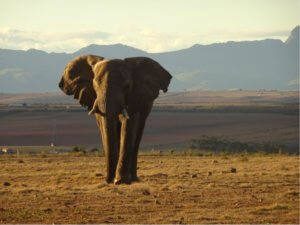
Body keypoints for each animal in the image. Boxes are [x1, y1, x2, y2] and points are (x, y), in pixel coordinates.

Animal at [58, 55, 172, 185]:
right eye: (95, 85)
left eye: (127, 86)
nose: (109, 180)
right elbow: (104, 125)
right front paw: (114, 180)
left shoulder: (134, 97)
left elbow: (128, 125)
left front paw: (121, 181)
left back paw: (133, 179)